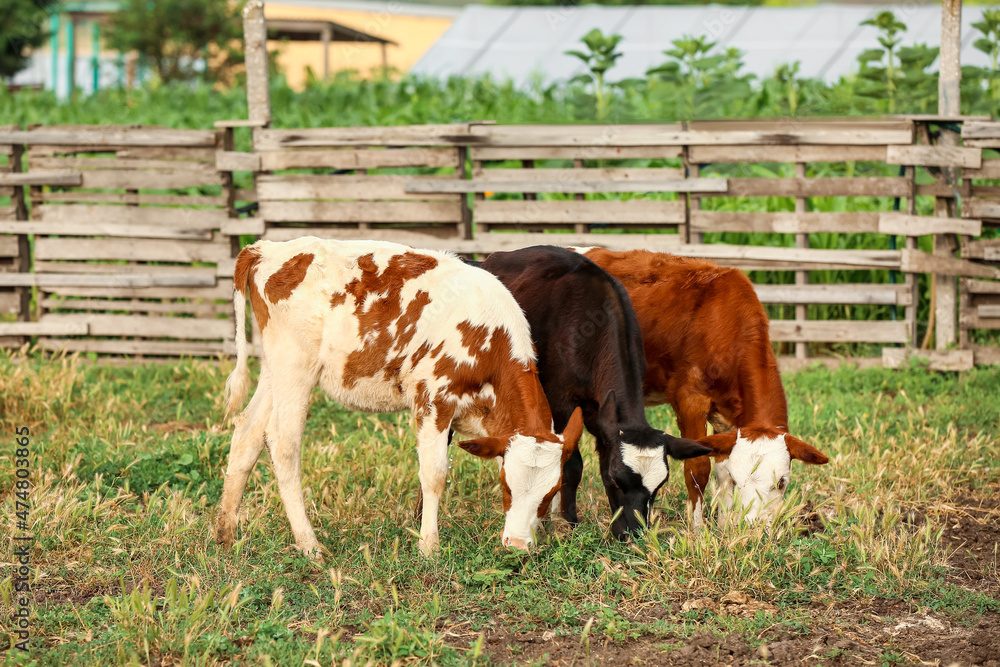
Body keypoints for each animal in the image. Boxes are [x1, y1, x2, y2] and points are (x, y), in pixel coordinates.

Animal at [215, 237, 584, 556]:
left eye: (550, 493)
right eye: (507, 487)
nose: (518, 546)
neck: (489, 340)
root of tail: (266, 249)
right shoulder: (433, 400)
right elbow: (434, 474)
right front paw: (429, 547)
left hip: (273, 369)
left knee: (248, 433)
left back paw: (226, 533)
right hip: (295, 368)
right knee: (283, 443)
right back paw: (309, 545)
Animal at [476, 248, 712, 540]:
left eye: (658, 488)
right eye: (616, 480)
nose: (634, 534)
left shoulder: (603, 419)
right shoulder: (561, 403)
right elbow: (572, 465)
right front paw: (569, 523)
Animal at [584, 248, 828, 528]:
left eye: (782, 482)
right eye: (740, 480)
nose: (754, 528)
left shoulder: (727, 417)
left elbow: (721, 471)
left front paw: (723, 527)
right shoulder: (690, 399)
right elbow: (698, 468)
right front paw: (697, 530)